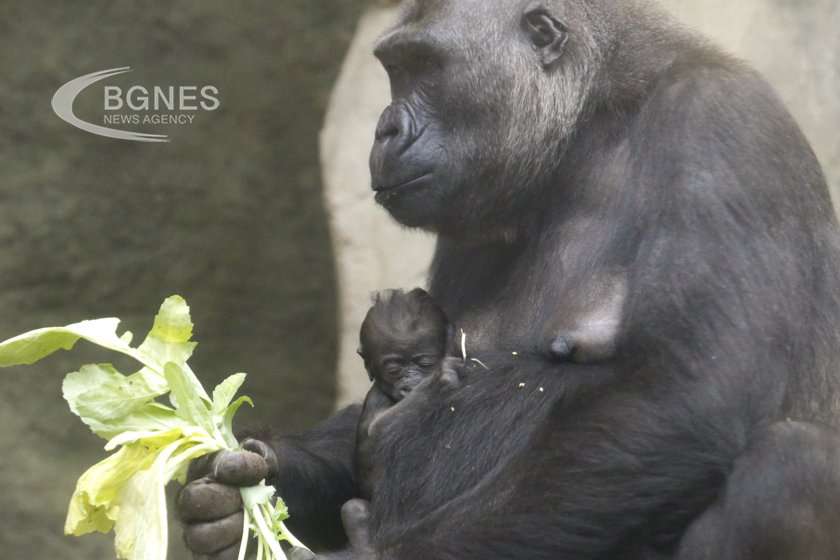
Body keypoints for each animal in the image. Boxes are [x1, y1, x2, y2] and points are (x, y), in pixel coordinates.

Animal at [177, 1, 840, 560]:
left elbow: (685, 394)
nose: (385, 130)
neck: (588, 122)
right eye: (395, 69)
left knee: (790, 467)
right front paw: (245, 481)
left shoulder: (718, 122)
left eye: (425, 67)